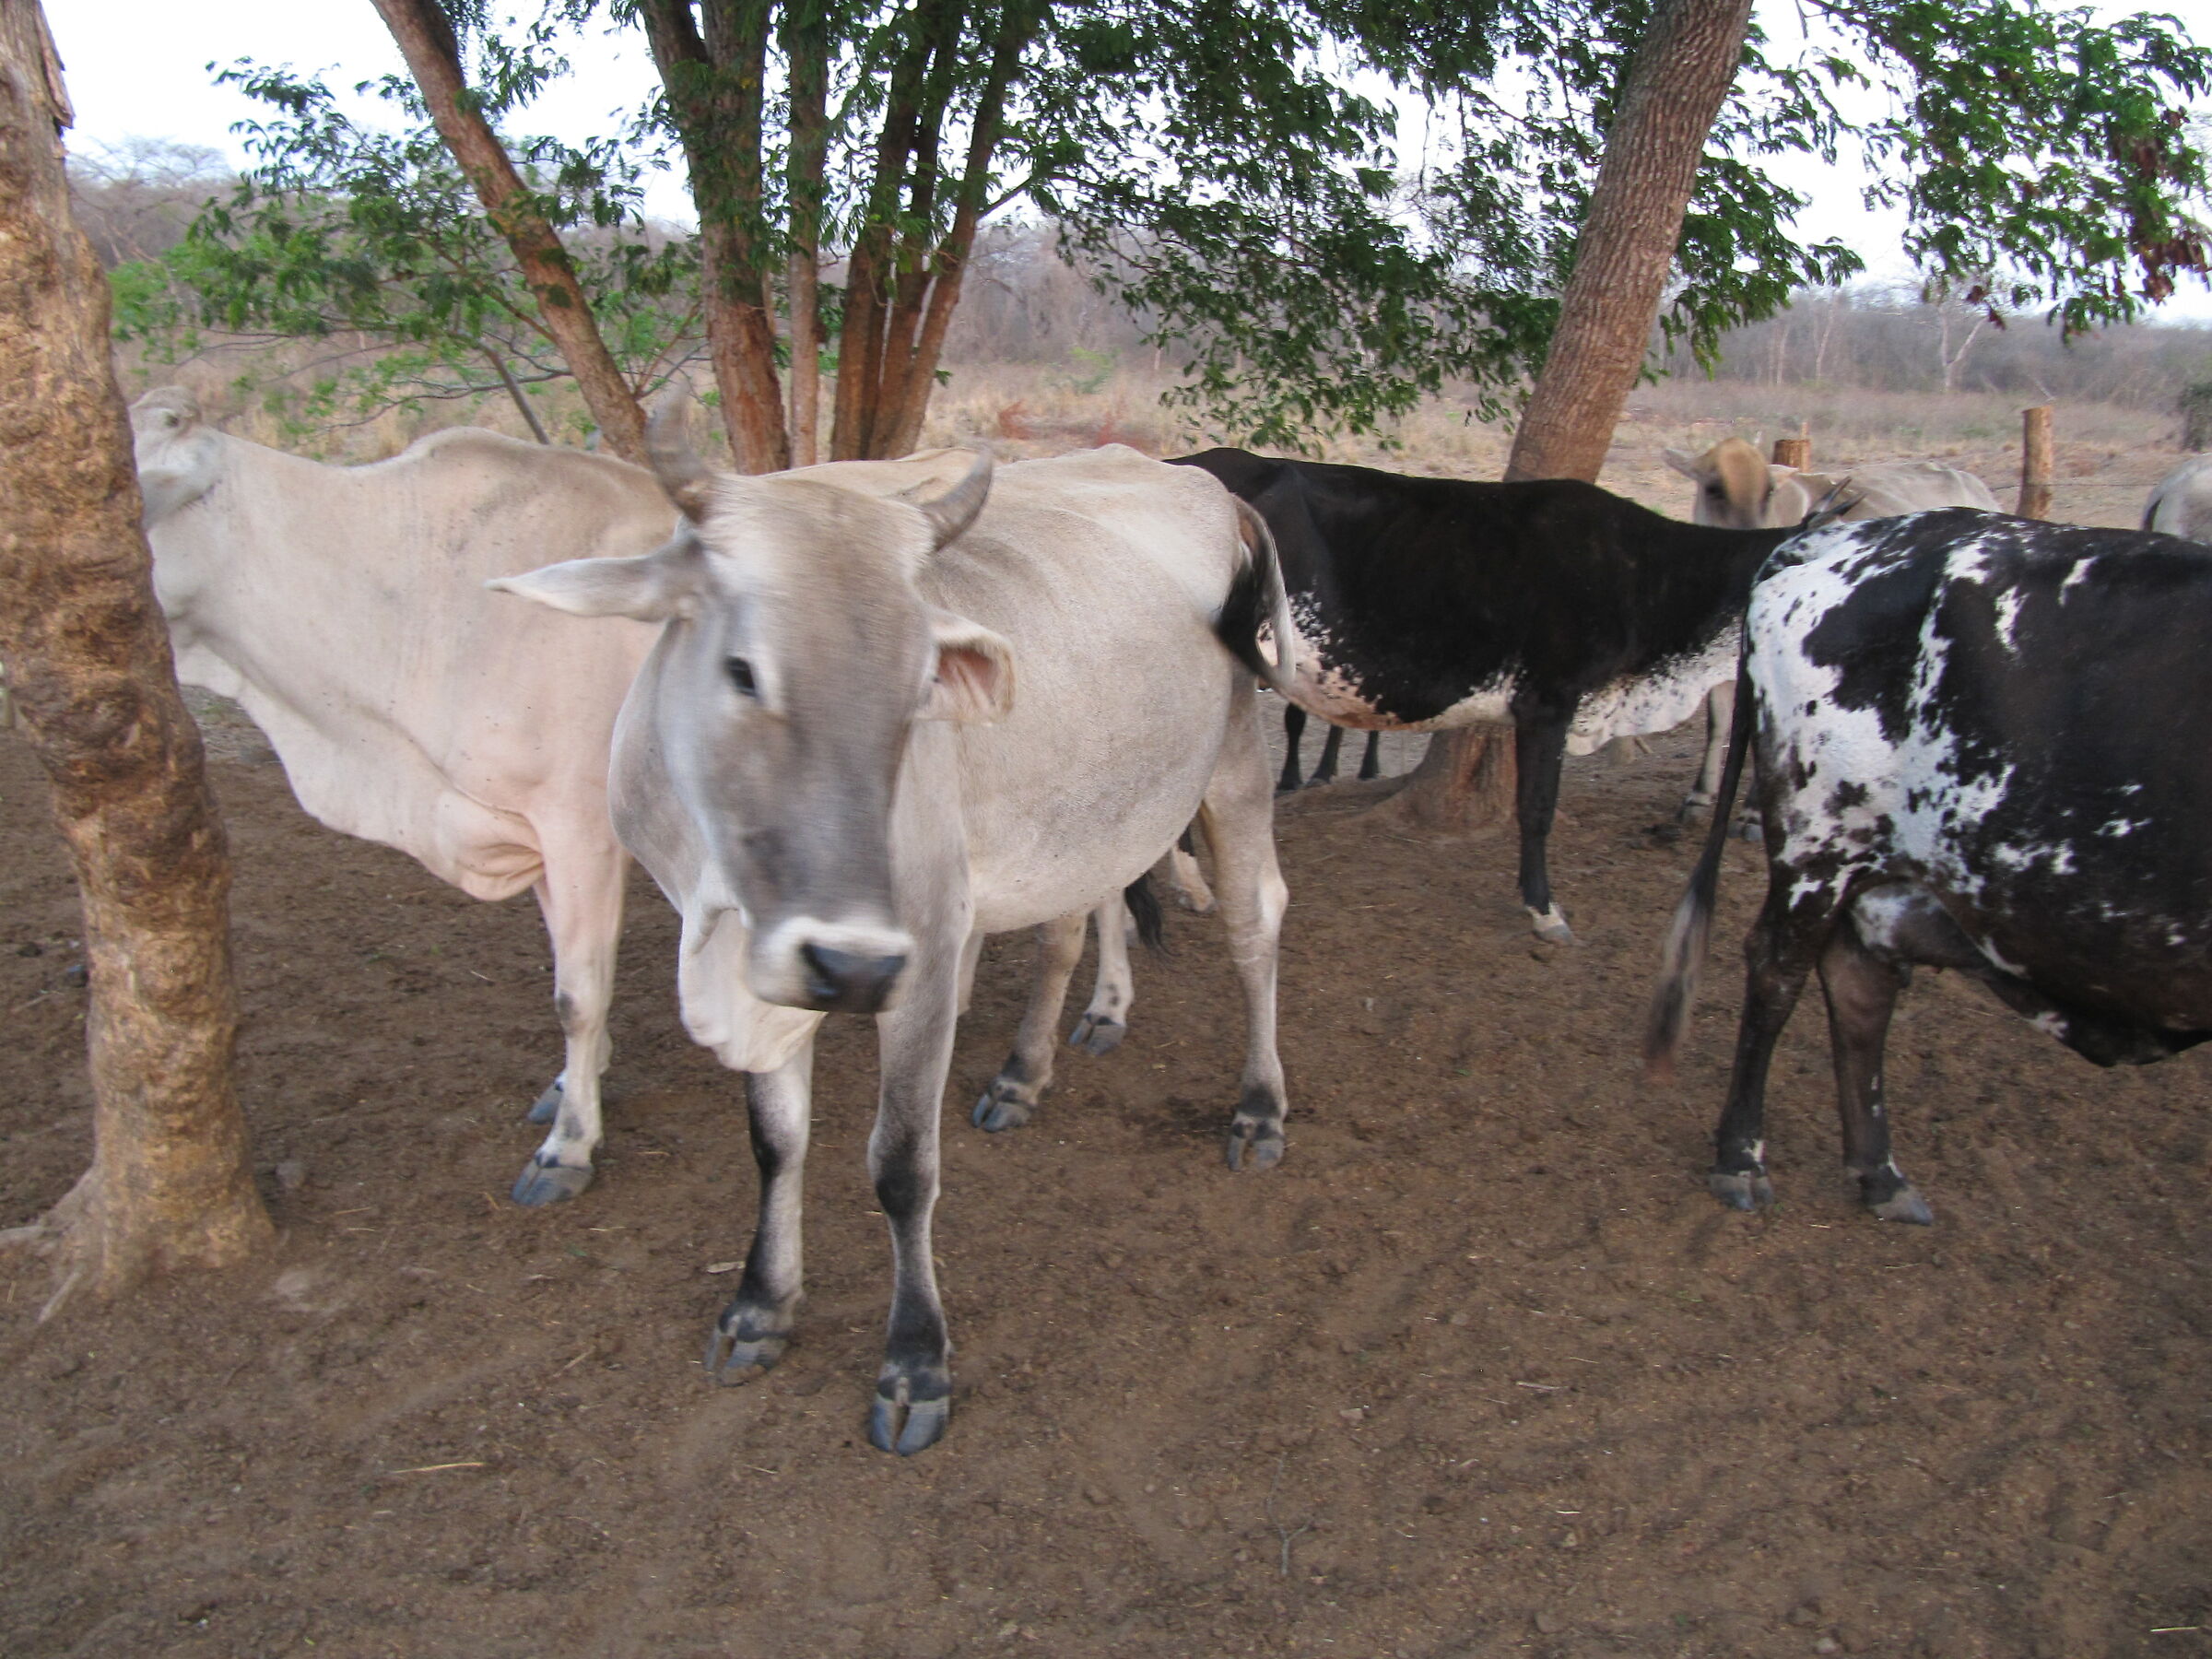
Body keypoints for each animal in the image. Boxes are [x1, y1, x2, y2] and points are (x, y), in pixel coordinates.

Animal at [129, 388, 1147, 1206]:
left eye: (144, 494)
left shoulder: (579, 830)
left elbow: (576, 993)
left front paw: (568, 1142)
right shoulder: (546, 833)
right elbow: (568, 976)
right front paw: (570, 1084)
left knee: (1101, 892)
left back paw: (1093, 1016)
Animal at [491, 417, 1295, 1453]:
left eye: (920, 686)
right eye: (743, 670)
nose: (849, 963)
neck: (723, 890)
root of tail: (1205, 486)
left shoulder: (923, 955)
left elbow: (902, 1166)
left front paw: (914, 1362)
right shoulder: (767, 968)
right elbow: (776, 1141)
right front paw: (761, 1305)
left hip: (1235, 766)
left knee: (1255, 921)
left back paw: (1259, 1108)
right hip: (1086, 810)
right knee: (1071, 926)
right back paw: (1024, 1074)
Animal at [1647, 509, 2212, 1226]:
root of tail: (1842, 537)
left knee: (1861, 977)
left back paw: (1880, 1174)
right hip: (1820, 843)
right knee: (1780, 971)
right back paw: (1743, 1158)